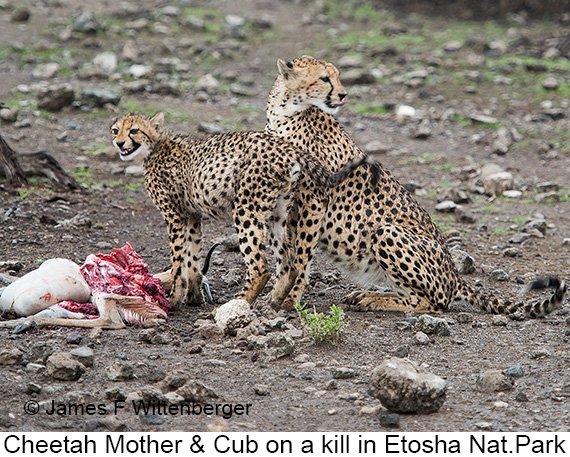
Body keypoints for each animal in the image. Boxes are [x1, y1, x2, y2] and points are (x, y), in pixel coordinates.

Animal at [111, 112, 378, 308]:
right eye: (116, 130)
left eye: (134, 130)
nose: (119, 143)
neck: (155, 147)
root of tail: (285, 146)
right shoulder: (193, 216)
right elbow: (193, 259)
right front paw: (193, 297)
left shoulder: (174, 216)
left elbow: (178, 262)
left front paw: (174, 300)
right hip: (276, 215)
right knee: (288, 264)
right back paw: (272, 302)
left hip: (246, 210)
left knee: (260, 268)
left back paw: (239, 303)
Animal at [262, 55, 564, 316]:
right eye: (325, 78)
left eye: (337, 77)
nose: (343, 94)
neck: (285, 112)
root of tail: (454, 273)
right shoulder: (285, 198)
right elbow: (283, 254)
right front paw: (274, 295)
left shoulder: (313, 198)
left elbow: (301, 255)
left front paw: (291, 299)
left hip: (386, 231)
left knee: (434, 302)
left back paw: (374, 299)